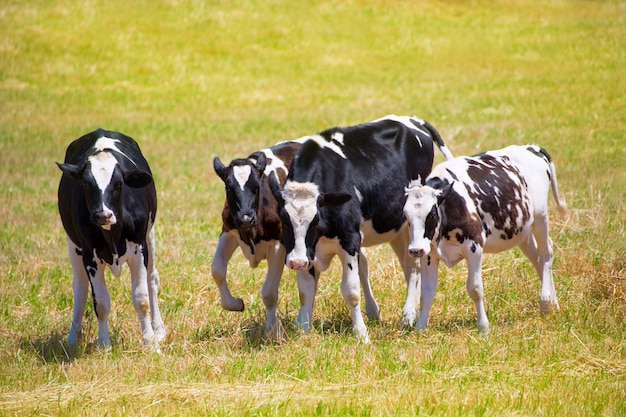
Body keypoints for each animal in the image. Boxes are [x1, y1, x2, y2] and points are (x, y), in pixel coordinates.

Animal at [56, 127, 163, 348]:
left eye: (119, 182)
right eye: (85, 183)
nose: (102, 214)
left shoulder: (139, 249)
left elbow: (142, 298)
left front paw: (150, 342)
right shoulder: (90, 256)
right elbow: (101, 302)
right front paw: (104, 344)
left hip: (150, 236)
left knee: (152, 279)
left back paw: (158, 329)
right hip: (73, 246)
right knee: (80, 288)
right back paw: (72, 337)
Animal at [212, 138, 378, 334]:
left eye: (256, 187)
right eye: (229, 188)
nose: (246, 218)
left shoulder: (279, 246)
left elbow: (269, 292)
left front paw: (271, 330)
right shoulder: (228, 232)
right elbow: (217, 270)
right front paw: (234, 303)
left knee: (361, 264)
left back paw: (372, 310)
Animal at [268, 114, 454, 342]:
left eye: (314, 220)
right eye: (285, 219)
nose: (295, 262)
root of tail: (413, 120)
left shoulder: (349, 240)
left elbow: (351, 290)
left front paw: (361, 334)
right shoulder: (308, 250)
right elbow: (306, 291)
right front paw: (303, 330)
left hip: (414, 224)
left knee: (414, 266)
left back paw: (408, 315)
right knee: (407, 264)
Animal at [402, 145, 568, 334]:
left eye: (431, 214)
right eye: (406, 215)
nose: (415, 250)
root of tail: (532, 148)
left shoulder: (474, 247)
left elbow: (475, 289)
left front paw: (483, 326)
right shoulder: (429, 255)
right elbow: (426, 294)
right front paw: (420, 328)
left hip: (541, 218)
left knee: (546, 252)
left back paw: (545, 300)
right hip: (523, 230)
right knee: (537, 258)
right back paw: (553, 302)